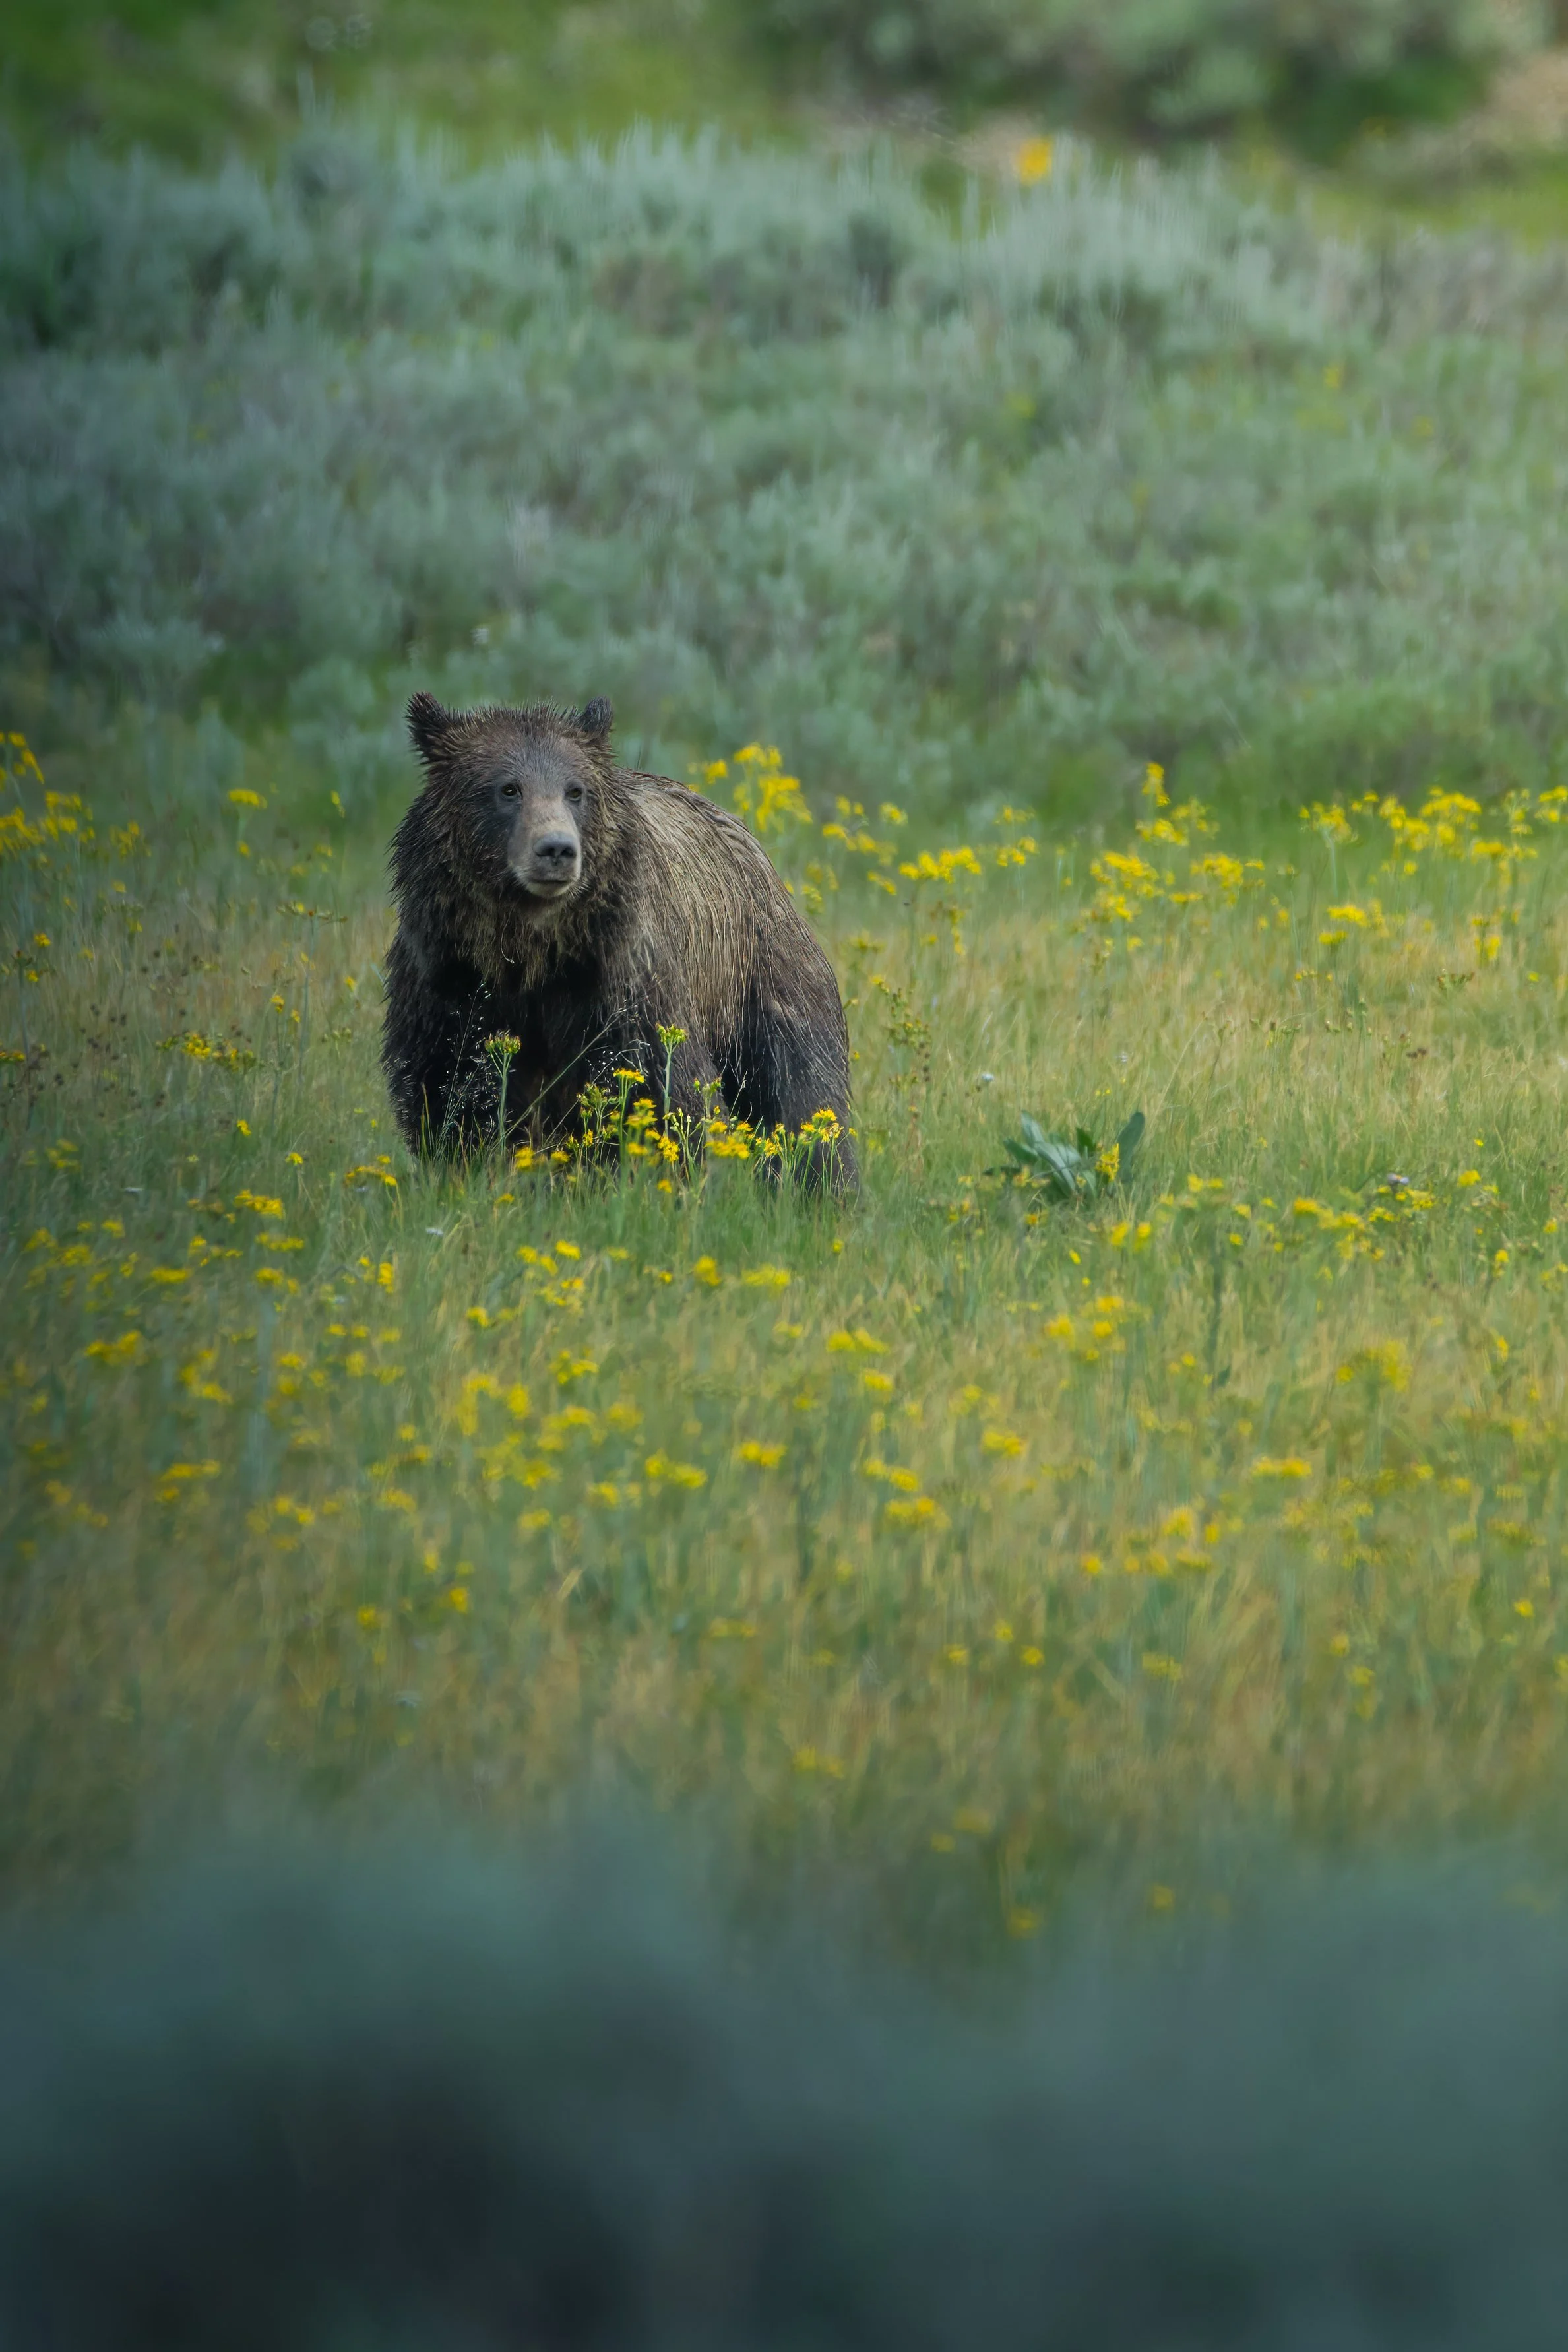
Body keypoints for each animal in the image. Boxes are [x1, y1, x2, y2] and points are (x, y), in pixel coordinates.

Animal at [381, 693, 856, 1189]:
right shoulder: (451, 977)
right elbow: (454, 1085)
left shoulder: (620, 980)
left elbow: (660, 1085)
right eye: (507, 789)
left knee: (802, 1090)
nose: (556, 849)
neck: (534, 952)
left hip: (760, 975)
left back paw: (823, 1183)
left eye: (575, 791)